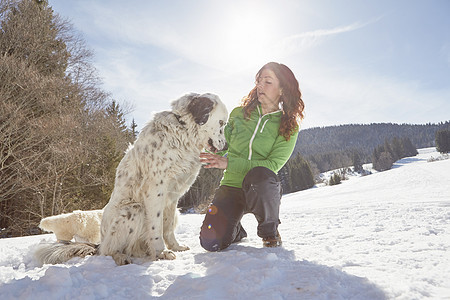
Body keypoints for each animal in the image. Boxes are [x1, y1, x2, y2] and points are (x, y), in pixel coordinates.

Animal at [34, 93, 229, 264]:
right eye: (221, 122)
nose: (227, 145)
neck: (182, 131)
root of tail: (99, 243)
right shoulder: (156, 190)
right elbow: (156, 227)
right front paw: (161, 252)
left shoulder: (172, 197)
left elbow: (166, 227)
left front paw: (175, 247)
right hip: (133, 209)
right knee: (108, 250)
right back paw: (120, 257)